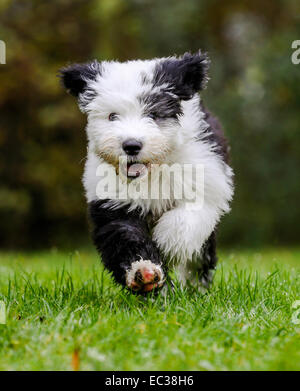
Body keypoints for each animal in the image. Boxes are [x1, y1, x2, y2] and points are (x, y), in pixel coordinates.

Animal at [59, 52, 234, 296]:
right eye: (112, 116)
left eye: (153, 113)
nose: (131, 145)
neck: (152, 171)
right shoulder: (113, 200)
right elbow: (125, 235)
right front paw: (144, 271)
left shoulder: (203, 180)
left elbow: (184, 220)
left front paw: (167, 244)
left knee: (201, 257)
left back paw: (195, 287)